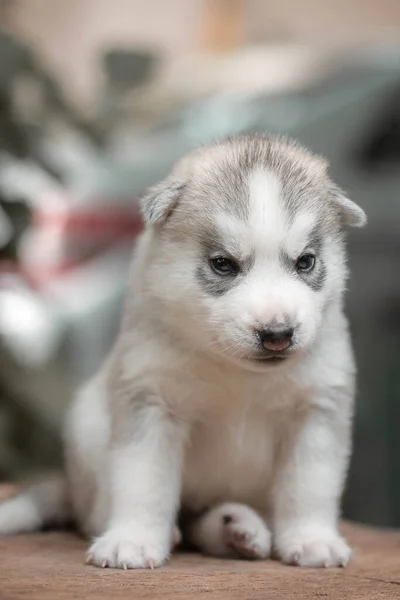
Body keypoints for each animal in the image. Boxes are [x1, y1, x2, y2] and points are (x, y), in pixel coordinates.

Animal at [0, 136, 366, 572]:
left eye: (306, 261)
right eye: (222, 264)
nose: (277, 334)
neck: (236, 373)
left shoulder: (317, 410)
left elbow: (309, 484)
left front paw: (312, 539)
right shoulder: (150, 402)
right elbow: (143, 481)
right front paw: (133, 540)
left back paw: (237, 527)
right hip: (87, 430)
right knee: (109, 511)